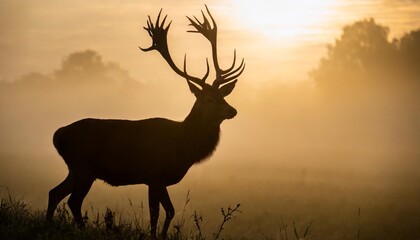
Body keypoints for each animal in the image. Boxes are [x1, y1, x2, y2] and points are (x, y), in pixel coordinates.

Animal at [44, 5, 244, 240]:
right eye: (209, 99)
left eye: (223, 96)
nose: (232, 110)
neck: (183, 147)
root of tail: (57, 135)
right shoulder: (154, 175)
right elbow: (157, 213)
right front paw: (155, 235)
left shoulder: (157, 180)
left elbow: (168, 211)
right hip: (84, 167)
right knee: (73, 201)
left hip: (75, 169)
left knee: (54, 192)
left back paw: (47, 227)